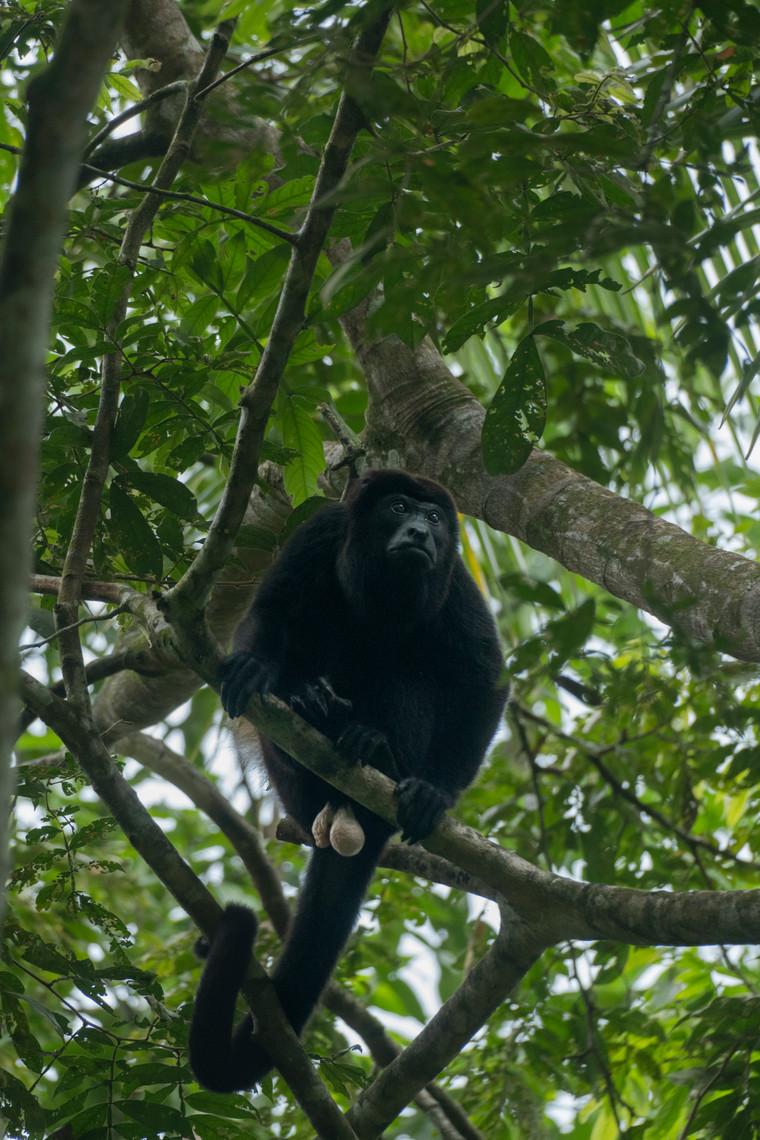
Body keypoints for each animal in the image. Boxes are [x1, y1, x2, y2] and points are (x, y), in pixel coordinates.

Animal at [189, 469, 506, 1093]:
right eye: (400, 508)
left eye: (435, 518)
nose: (418, 532)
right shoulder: (320, 531)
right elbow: (271, 611)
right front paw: (261, 672)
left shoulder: (456, 582)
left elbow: (483, 681)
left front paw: (435, 793)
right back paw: (313, 707)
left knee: (411, 676)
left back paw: (370, 746)